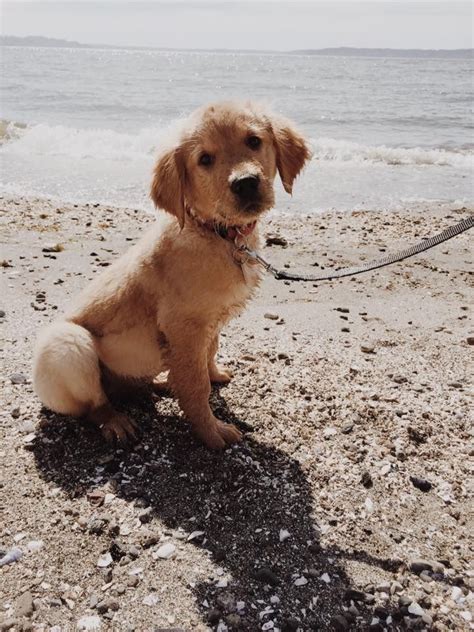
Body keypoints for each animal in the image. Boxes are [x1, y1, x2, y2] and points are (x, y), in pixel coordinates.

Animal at [31, 101, 310, 450]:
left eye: (254, 141)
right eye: (204, 159)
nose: (245, 182)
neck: (218, 233)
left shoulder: (208, 323)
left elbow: (209, 353)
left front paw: (214, 374)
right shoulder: (184, 325)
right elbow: (197, 386)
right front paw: (212, 431)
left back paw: (163, 382)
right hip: (66, 344)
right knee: (95, 403)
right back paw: (115, 420)